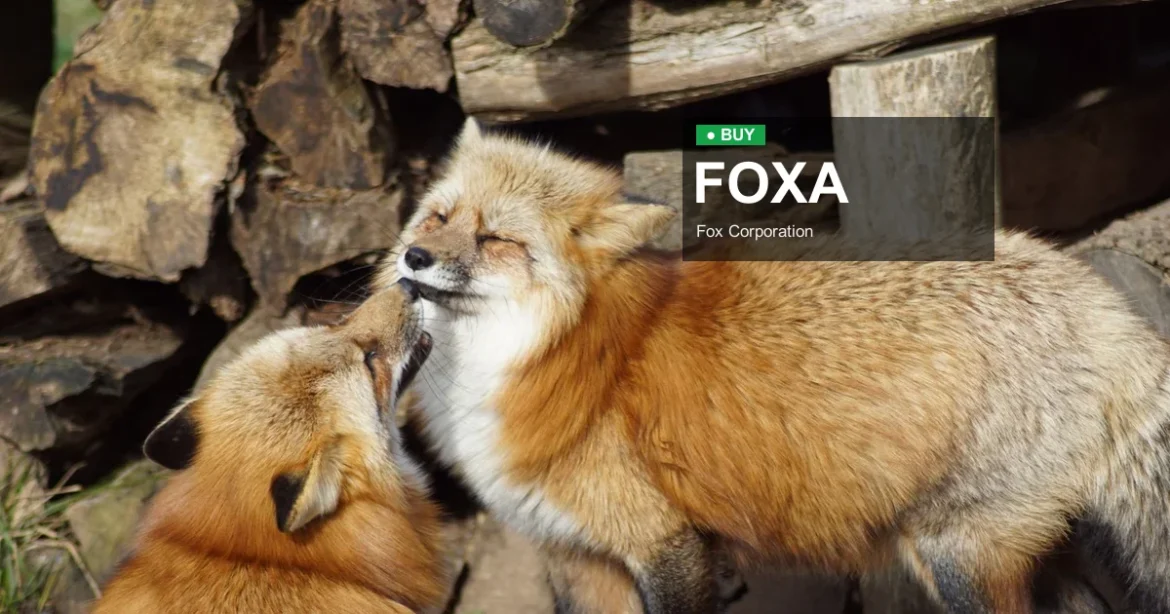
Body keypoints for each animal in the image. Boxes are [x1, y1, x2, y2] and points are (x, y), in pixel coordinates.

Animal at [377, 118, 1170, 614]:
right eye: (438, 217)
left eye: (498, 240)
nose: (414, 257)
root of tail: (1099, 303)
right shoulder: (575, 556)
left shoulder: (666, 544)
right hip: (1026, 548)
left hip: (956, 558)